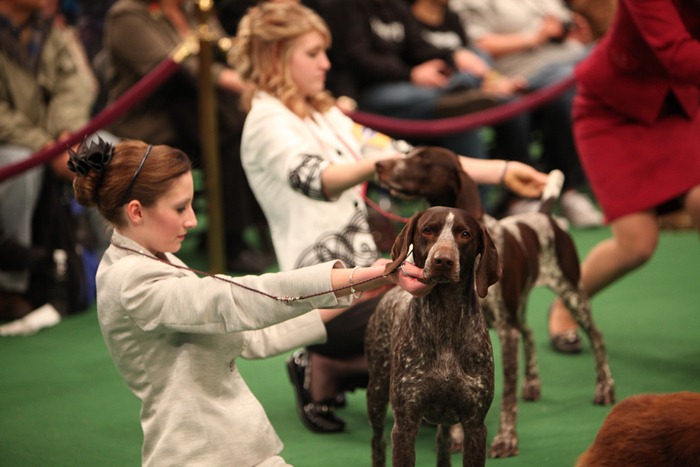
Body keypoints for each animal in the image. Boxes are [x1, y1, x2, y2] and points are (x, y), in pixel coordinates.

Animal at [366, 207, 504, 467]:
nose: (443, 261)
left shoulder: (475, 425)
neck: (445, 319)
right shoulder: (405, 424)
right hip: (376, 395)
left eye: (465, 234)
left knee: (443, 442)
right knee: (377, 443)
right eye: (428, 230)